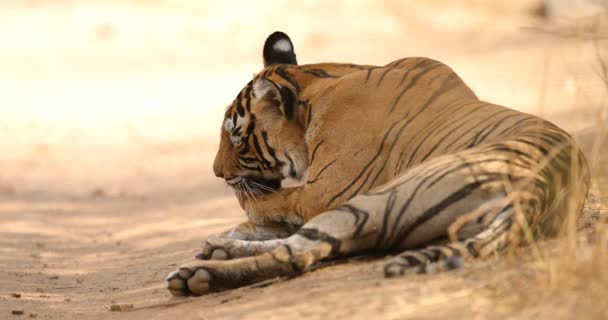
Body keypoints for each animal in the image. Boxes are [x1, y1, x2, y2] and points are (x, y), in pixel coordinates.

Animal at [165, 31, 588, 296]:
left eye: (237, 137)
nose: (218, 173)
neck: (316, 83)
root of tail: (537, 192)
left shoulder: (323, 191)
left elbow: (264, 204)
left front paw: (241, 213)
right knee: (310, 247)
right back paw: (215, 252)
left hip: (374, 201)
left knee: (297, 254)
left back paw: (197, 274)